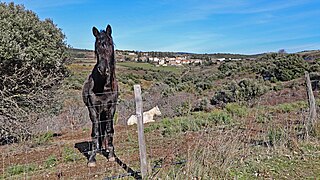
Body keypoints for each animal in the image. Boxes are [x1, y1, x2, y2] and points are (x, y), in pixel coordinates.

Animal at [82, 24, 118, 167]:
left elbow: (109, 130)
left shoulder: (111, 107)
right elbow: (95, 132)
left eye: (110, 44)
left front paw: (111, 155)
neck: (103, 86)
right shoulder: (93, 109)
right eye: (96, 47)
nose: (103, 69)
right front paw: (92, 158)